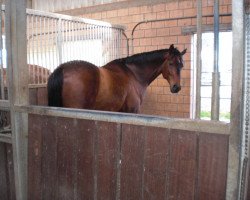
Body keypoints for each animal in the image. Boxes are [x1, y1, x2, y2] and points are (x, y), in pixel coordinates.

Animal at [47, 44, 187, 113]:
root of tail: (62, 69)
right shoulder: (132, 111)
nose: (176, 87)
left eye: (181, 65)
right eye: (171, 63)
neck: (134, 74)